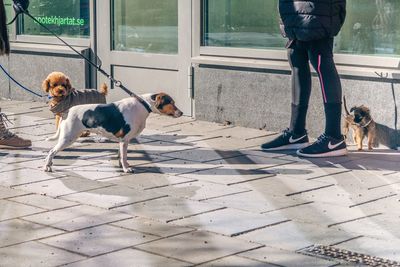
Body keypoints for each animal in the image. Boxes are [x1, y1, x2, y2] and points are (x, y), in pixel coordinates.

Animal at [43, 93, 181, 174]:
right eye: (171, 102)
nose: (182, 113)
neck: (143, 105)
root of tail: (67, 111)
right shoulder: (124, 140)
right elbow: (124, 156)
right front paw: (126, 169)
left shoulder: (123, 140)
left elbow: (121, 156)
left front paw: (124, 166)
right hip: (68, 138)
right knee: (51, 151)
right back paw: (47, 167)